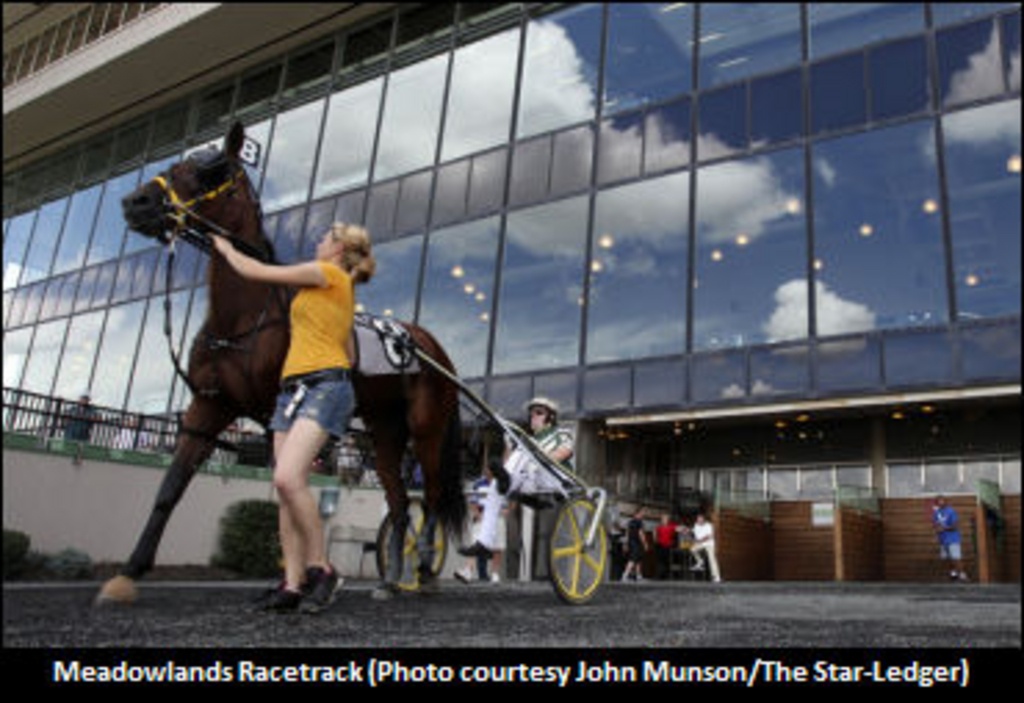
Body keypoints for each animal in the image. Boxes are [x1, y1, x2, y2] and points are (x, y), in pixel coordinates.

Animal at [96, 122, 464, 605]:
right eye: (174, 164)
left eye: (214, 169)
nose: (136, 202)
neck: (243, 320)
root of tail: (432, 348)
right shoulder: (208, 407)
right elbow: (169, 490)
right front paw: (128, 572)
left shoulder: (275, 413)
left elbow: (285, 498)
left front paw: (305, 578)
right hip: (384, 429)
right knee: (401, 503)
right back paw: (388, 580)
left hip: (426, 429)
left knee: (433, 495)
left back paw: (422, 570)